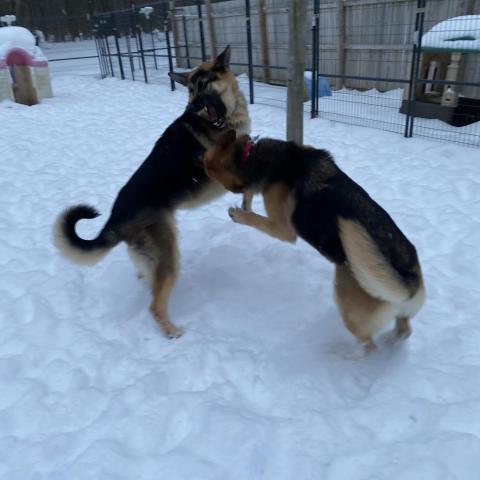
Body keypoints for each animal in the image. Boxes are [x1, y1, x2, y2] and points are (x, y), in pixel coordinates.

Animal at [53, 46, 251, 338]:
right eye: (190, 90)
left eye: (204, 85)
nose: (190, 108)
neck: (222, 121)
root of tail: (114, 220)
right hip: (168, 255)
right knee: (155, 305)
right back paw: (172, 331)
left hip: (152, 258)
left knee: (150, 283)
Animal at [202, 131, 424, 352]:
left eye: (208, 169)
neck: (251, 156)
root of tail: (409, 279)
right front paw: (245, 203)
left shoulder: (283, 228)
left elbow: (255, 219)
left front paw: (239, 214)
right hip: (397, 312)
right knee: (404, 330)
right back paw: (392, 340)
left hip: (348, 303)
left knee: (369, 345)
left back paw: (346, 354)